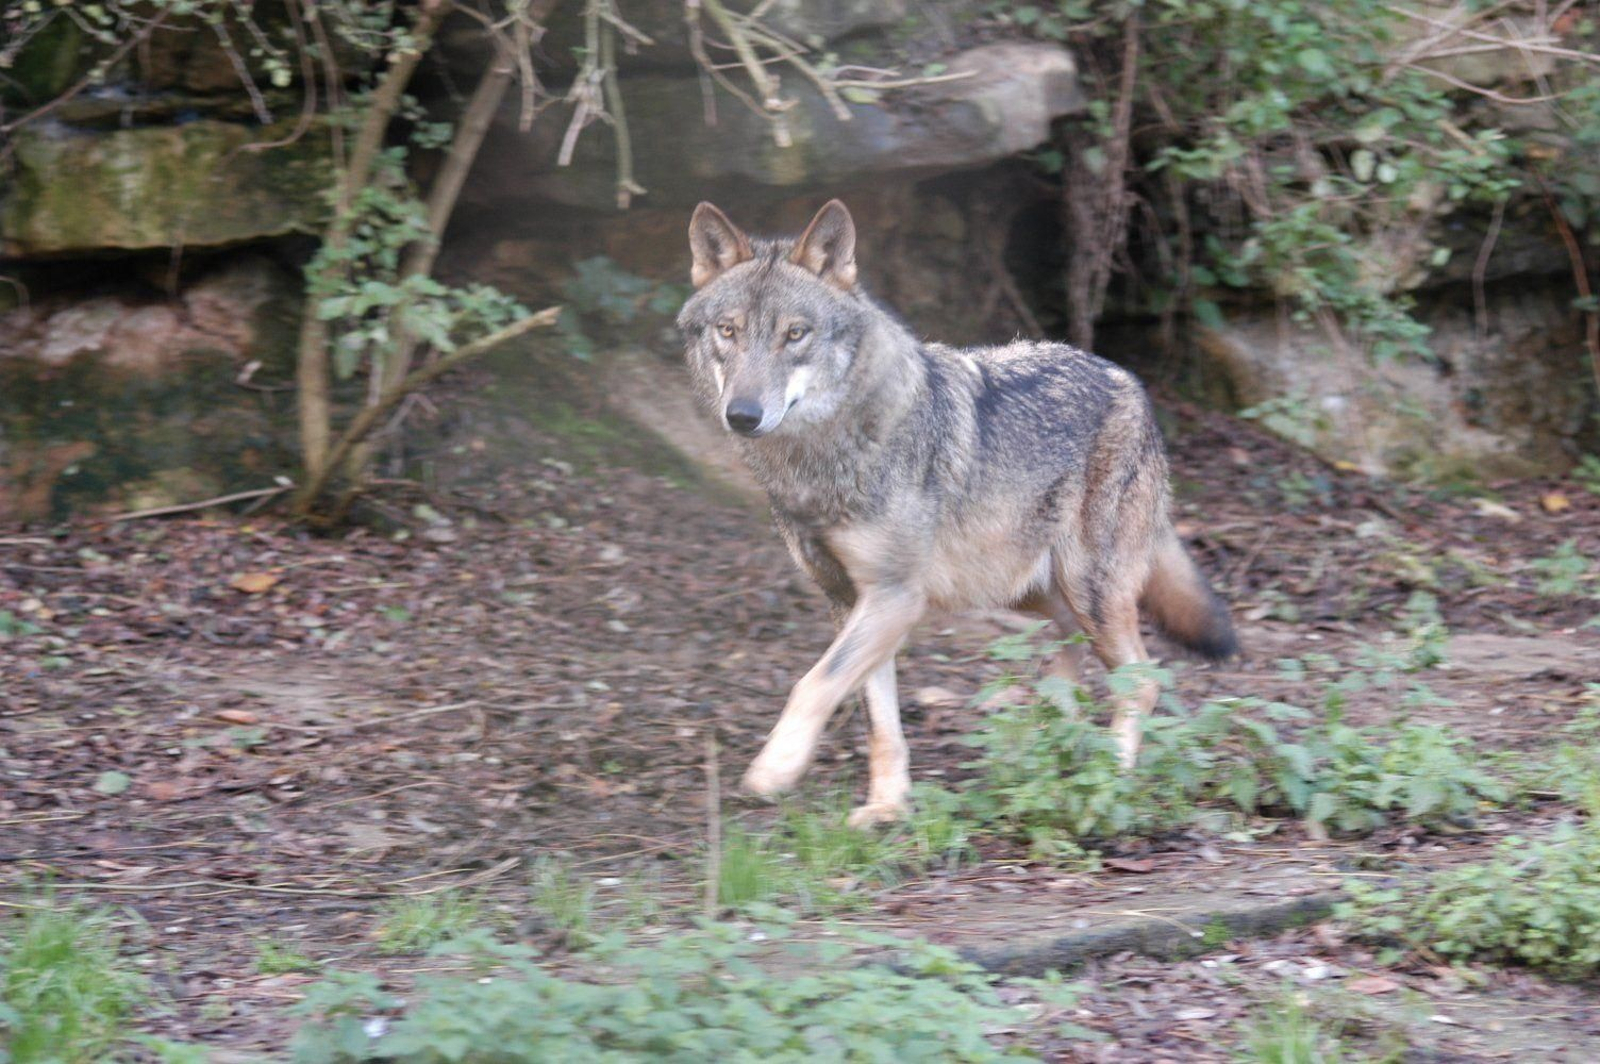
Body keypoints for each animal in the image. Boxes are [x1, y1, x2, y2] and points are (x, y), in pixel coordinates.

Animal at [676, 199, 1238, 828]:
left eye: (795, 334)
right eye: (728, 331)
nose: (743, 415)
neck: (821, 460)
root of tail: (1131, 383)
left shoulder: (895, 596)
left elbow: (814, 684)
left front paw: (774, 770)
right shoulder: (850, 601)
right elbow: (878, 719)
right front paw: (888, 807)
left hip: (1087, 588)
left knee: (1139, 680)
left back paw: (1108, 778)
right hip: (1029, 591)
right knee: (1067, 663)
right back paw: (1054, 758)